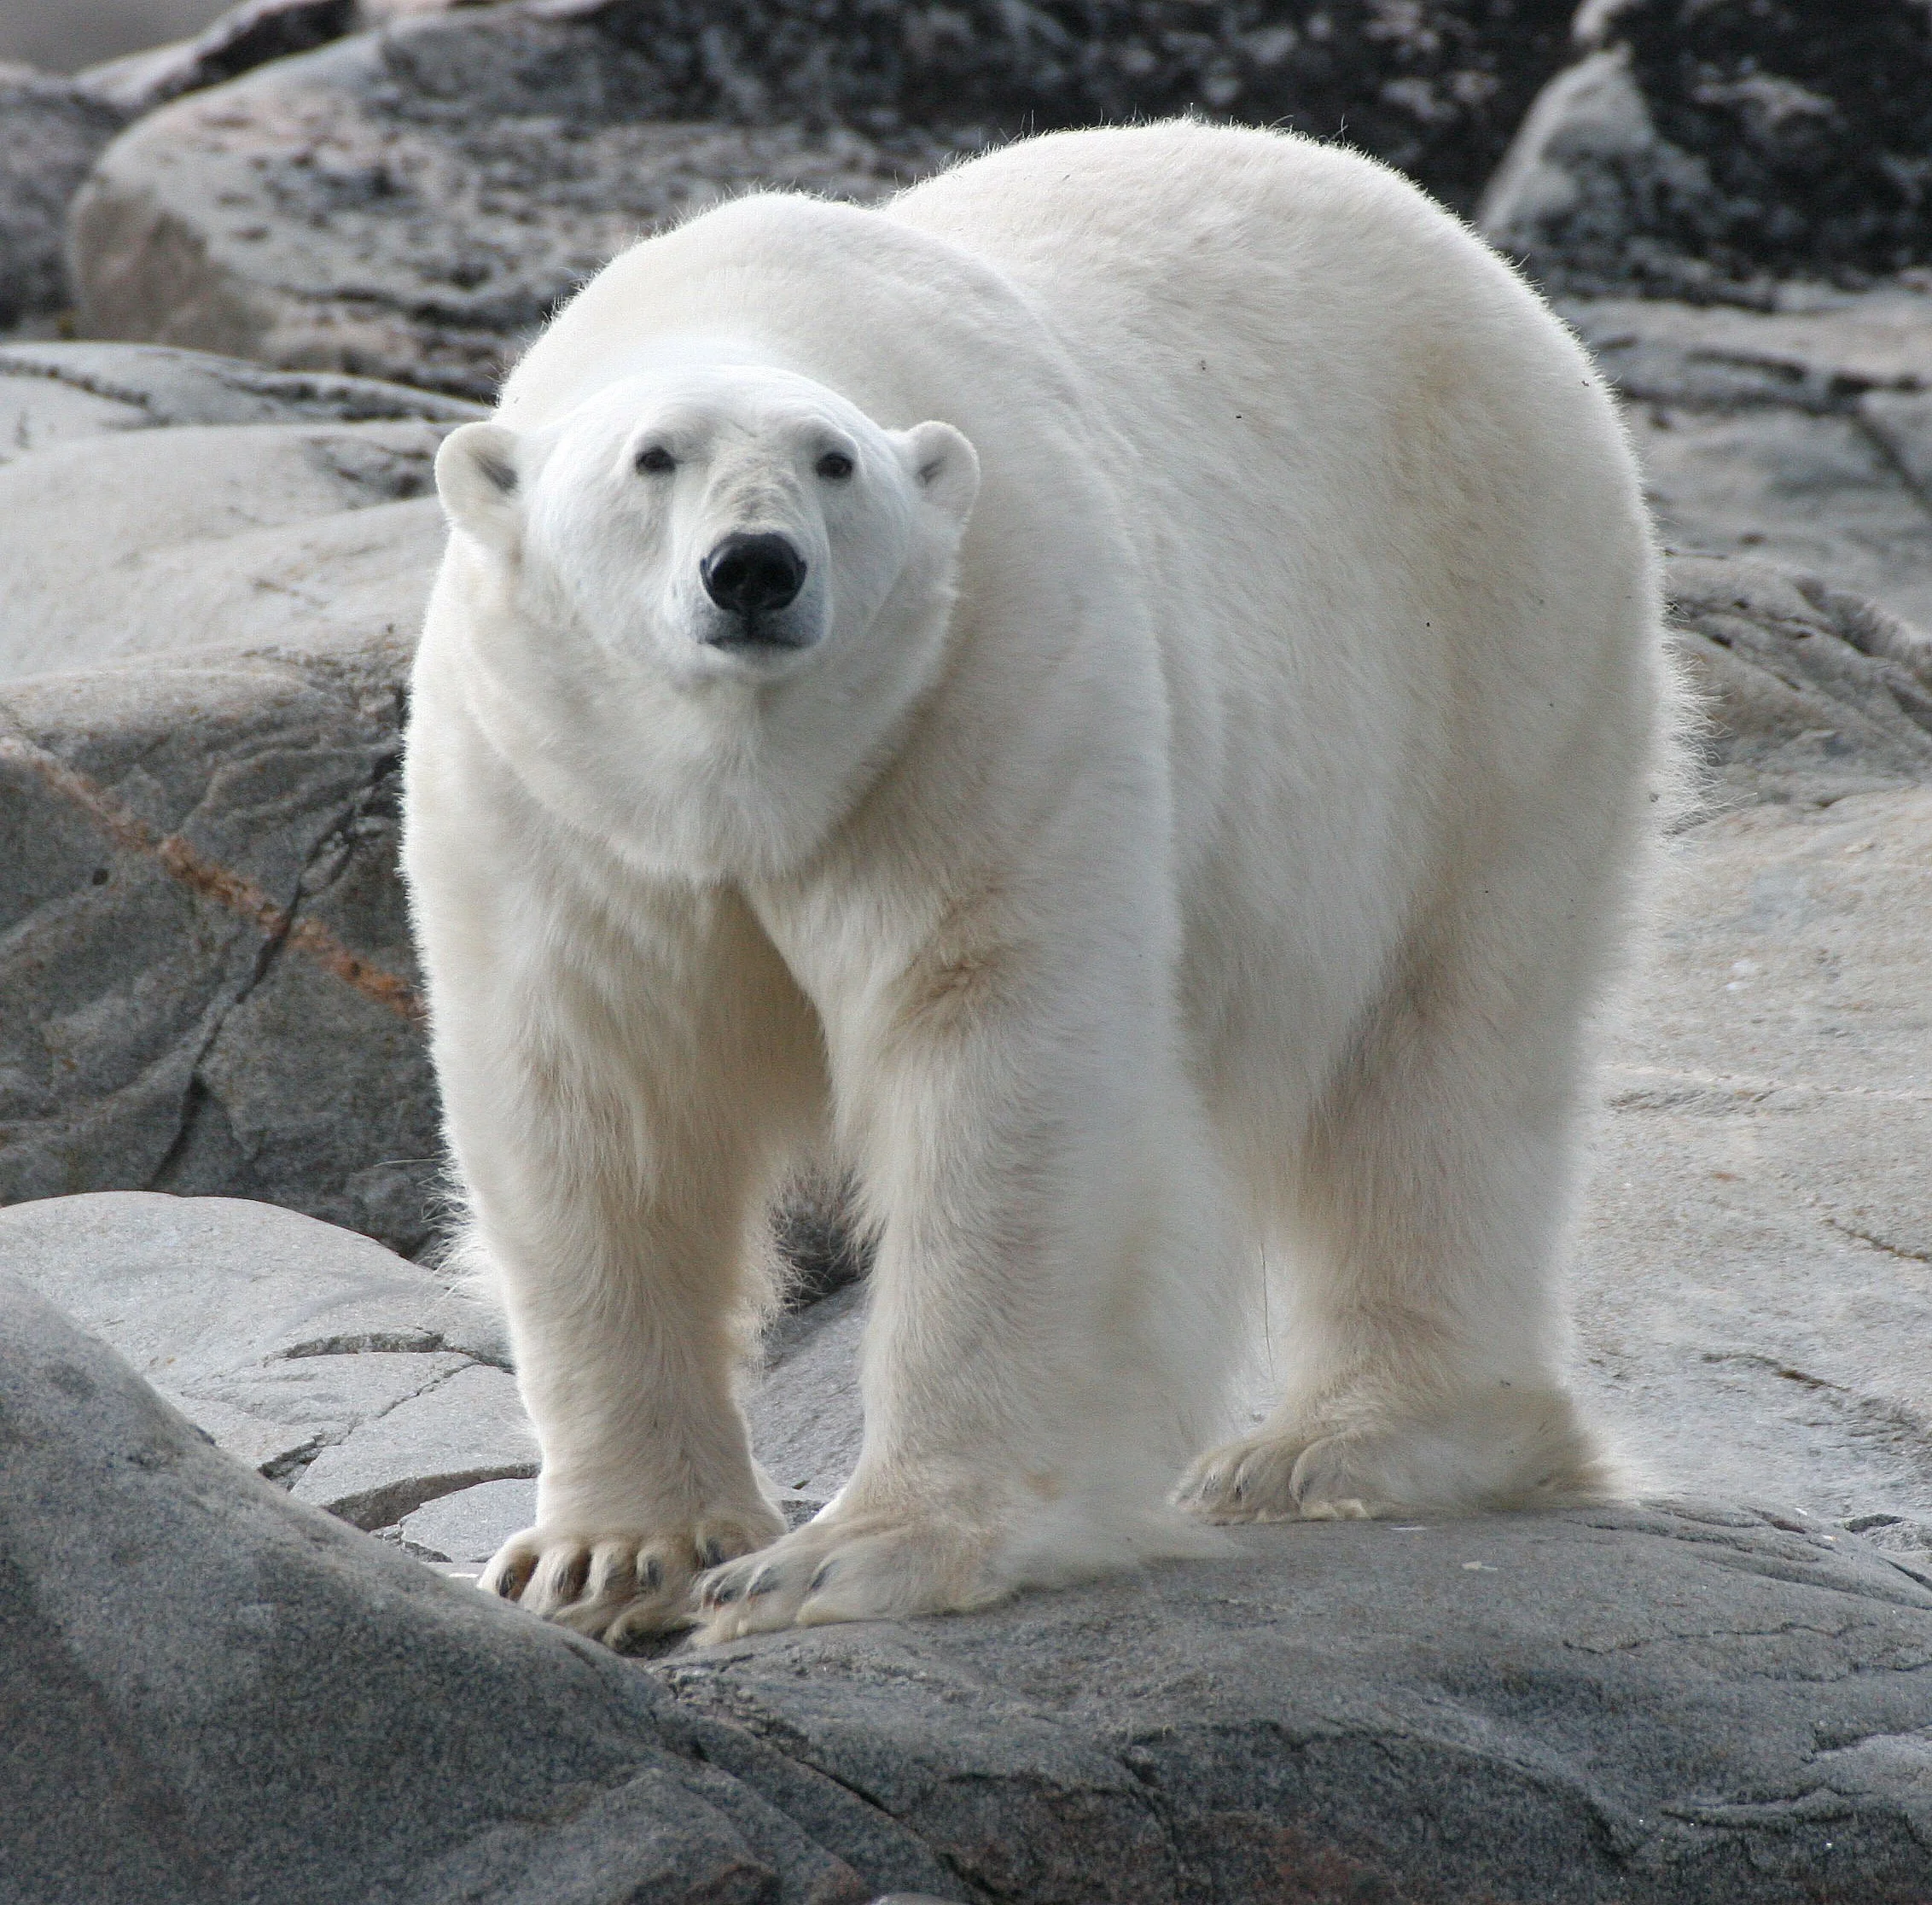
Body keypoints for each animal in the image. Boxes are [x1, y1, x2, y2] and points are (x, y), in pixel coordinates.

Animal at [402, 119, 1670, 1647]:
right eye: (652, 459)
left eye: (835, 462)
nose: (754, 568)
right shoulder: (554, 789)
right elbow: (595, 1098)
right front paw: (609, 1556)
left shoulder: (990, 675)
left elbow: (1003, 1068)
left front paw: (853, 1553)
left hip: (1489, 650)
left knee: (1441, 1055)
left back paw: (1342, 1449)